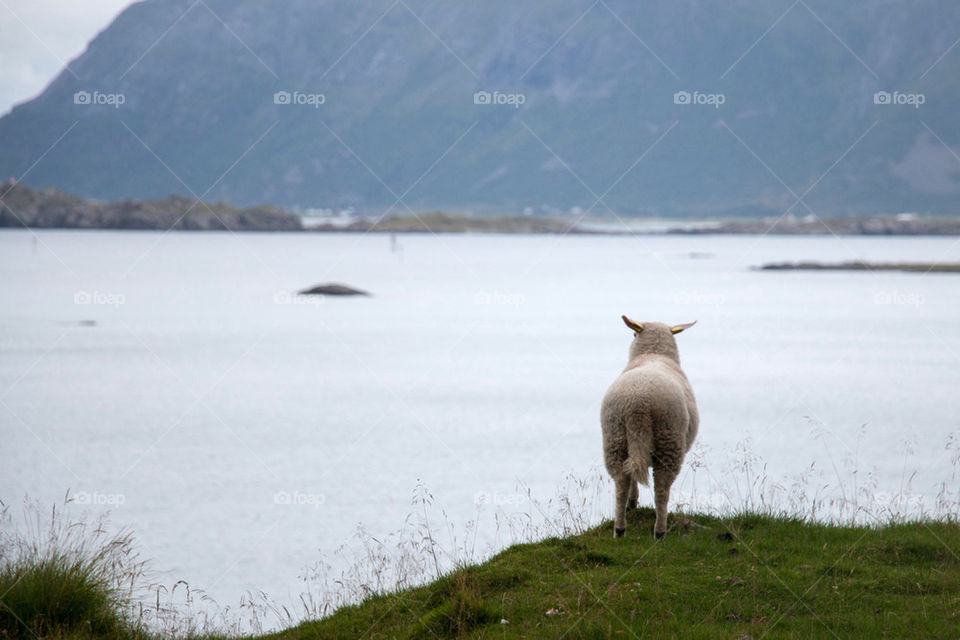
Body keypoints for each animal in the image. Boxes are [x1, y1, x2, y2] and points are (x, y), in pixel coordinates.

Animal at [600, 318, 696, 536]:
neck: (654, 354)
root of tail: (638, 404)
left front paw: (632, 503)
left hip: (615, 437)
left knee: (621, 481)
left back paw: (620, 529)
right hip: (668, 440)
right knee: (661, 489)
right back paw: (660, 531)